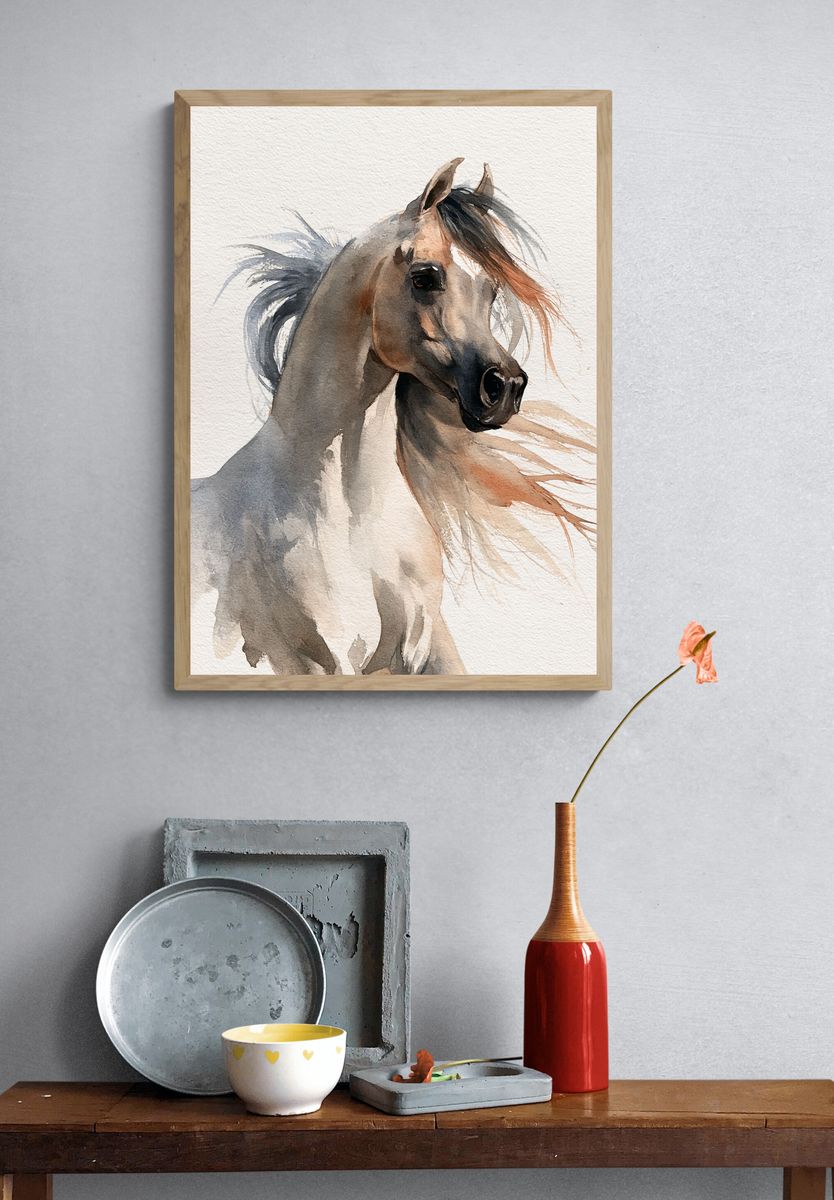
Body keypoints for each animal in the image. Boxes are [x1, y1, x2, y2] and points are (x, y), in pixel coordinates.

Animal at [191, 158, 594, 676]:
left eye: (491, 291)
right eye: (425, 277)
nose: (504, 387)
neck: (356, 518)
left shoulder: (427, 646)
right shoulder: (320, 659)